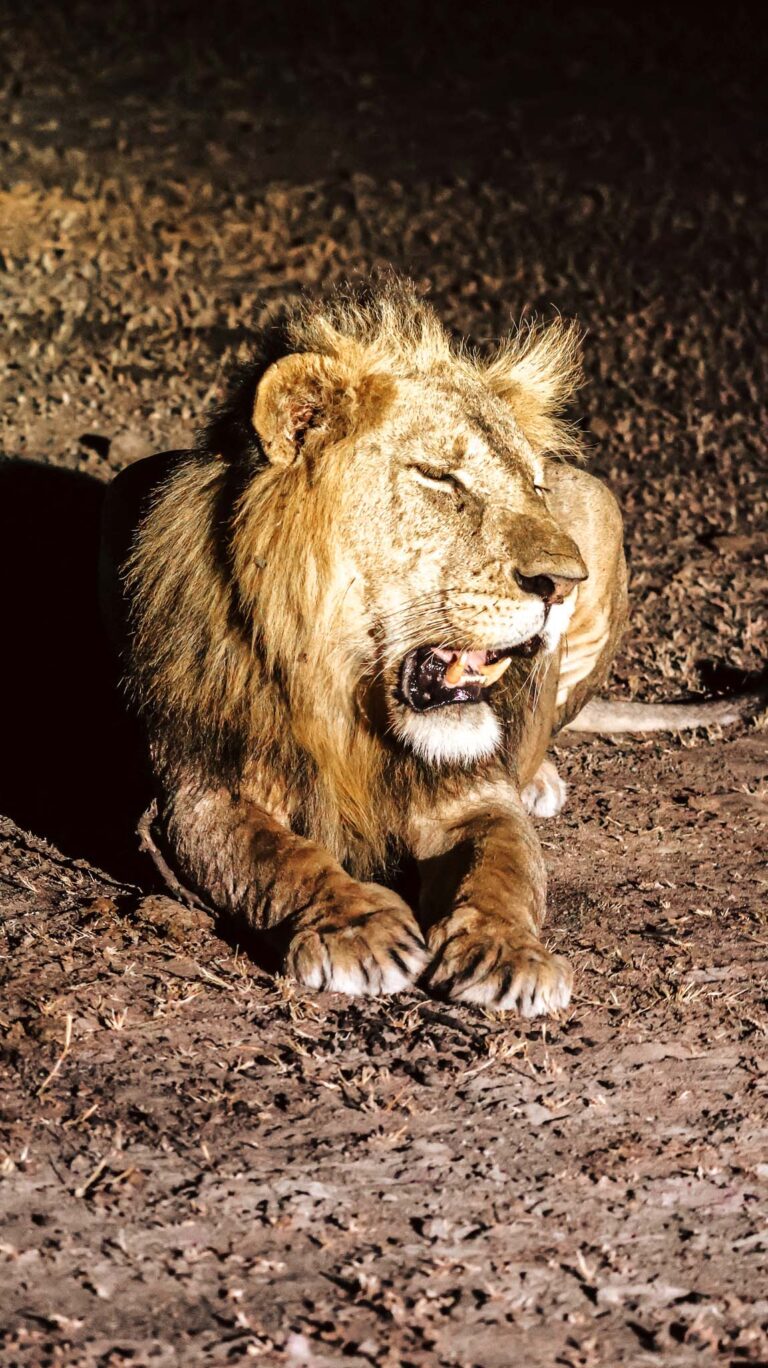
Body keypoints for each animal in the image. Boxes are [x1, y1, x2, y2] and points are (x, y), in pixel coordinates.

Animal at [99, 275, 684, 1016]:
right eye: (438, 476)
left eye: (535, 484)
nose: (563, 582)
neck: (347, 706)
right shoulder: (201, 792)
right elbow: (280, 857)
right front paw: (358, 929)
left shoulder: (474, 795)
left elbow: (503, 869)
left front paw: (508, 954)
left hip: (601, 505)